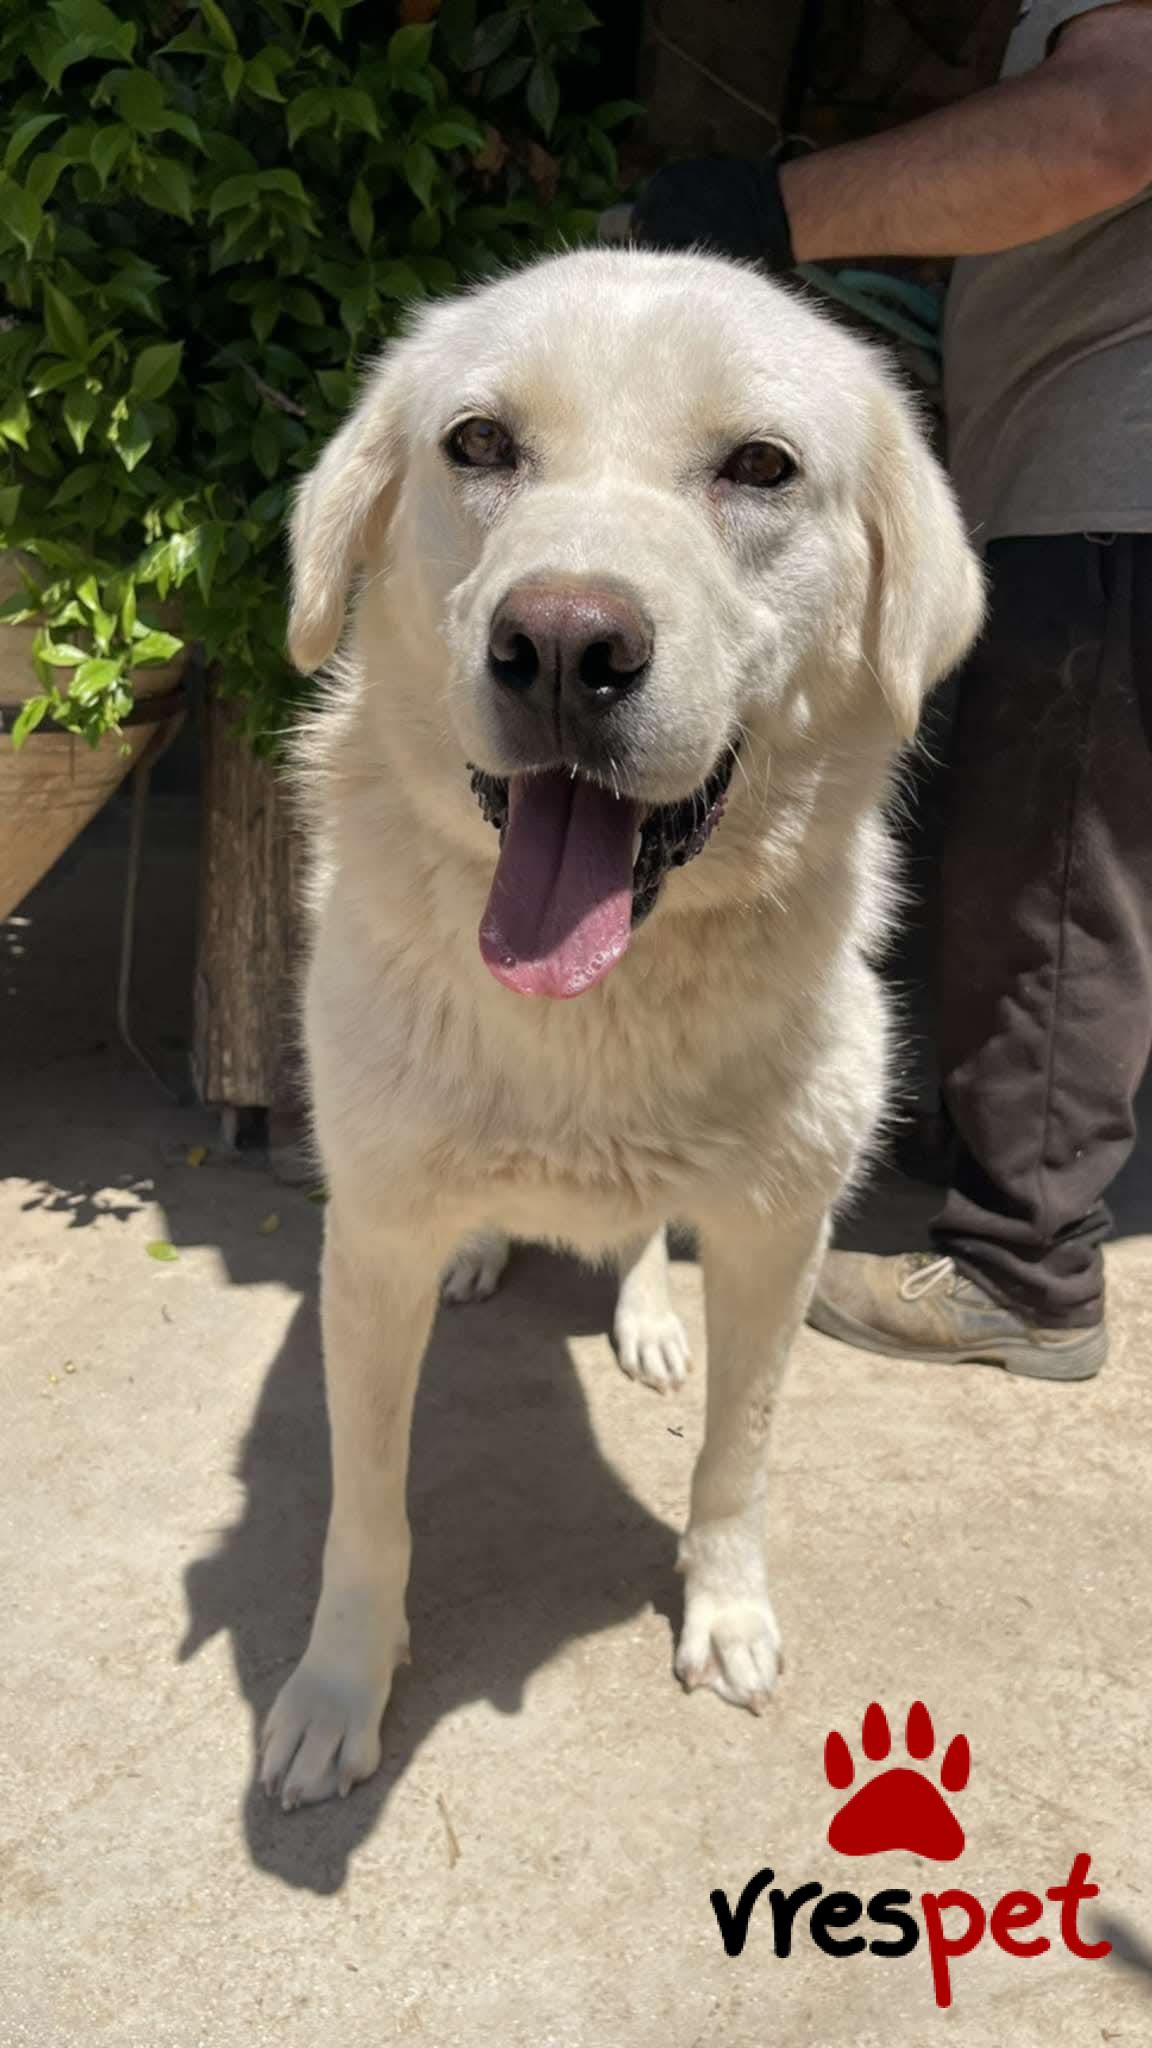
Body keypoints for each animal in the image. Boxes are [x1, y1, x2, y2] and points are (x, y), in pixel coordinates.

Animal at [261, 249, 983, 1808]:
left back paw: (647, 1313)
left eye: (760, 466)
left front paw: (727, 1611)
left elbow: (736, 1460)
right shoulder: (372, 1248)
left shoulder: (780, 1234)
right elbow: (365, 1508)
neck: (593, 1005)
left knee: (647, 1232)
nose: (560, 643)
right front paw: (339, 1688)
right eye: (479, 442)